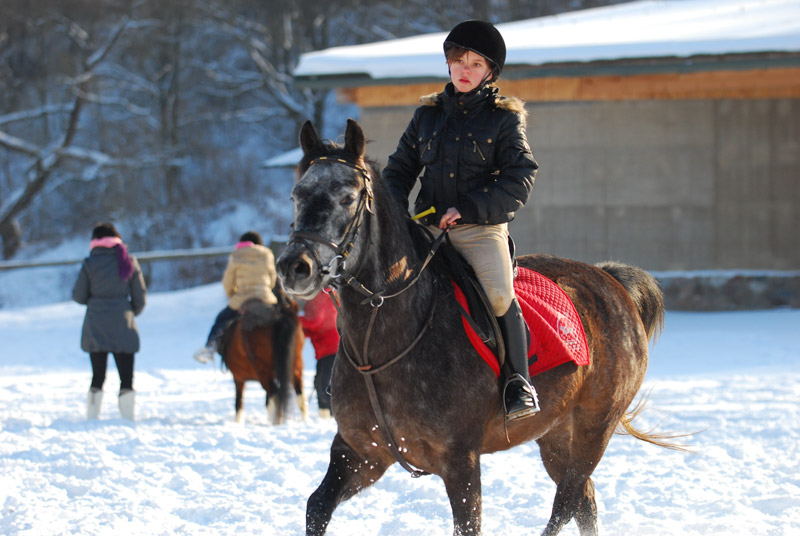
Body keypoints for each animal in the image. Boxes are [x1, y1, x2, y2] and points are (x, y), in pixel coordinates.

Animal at [220, 296, 308, 426]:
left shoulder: (238, 377)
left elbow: (239, 402)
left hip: (264, 371)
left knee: (275, 395)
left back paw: (276, 422)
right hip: (296, 365)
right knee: (300, 396)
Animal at [276, 120, 680, 536]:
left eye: (347, 198)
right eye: (297, 194)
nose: (294, 267)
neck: (384, 343)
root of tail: (610, 280)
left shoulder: (460, 461)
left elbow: (469, 523)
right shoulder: (361, 453)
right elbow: (317, 507)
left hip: (595, 425)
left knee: (567, 501)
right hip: (555, 432)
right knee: (583, 501)